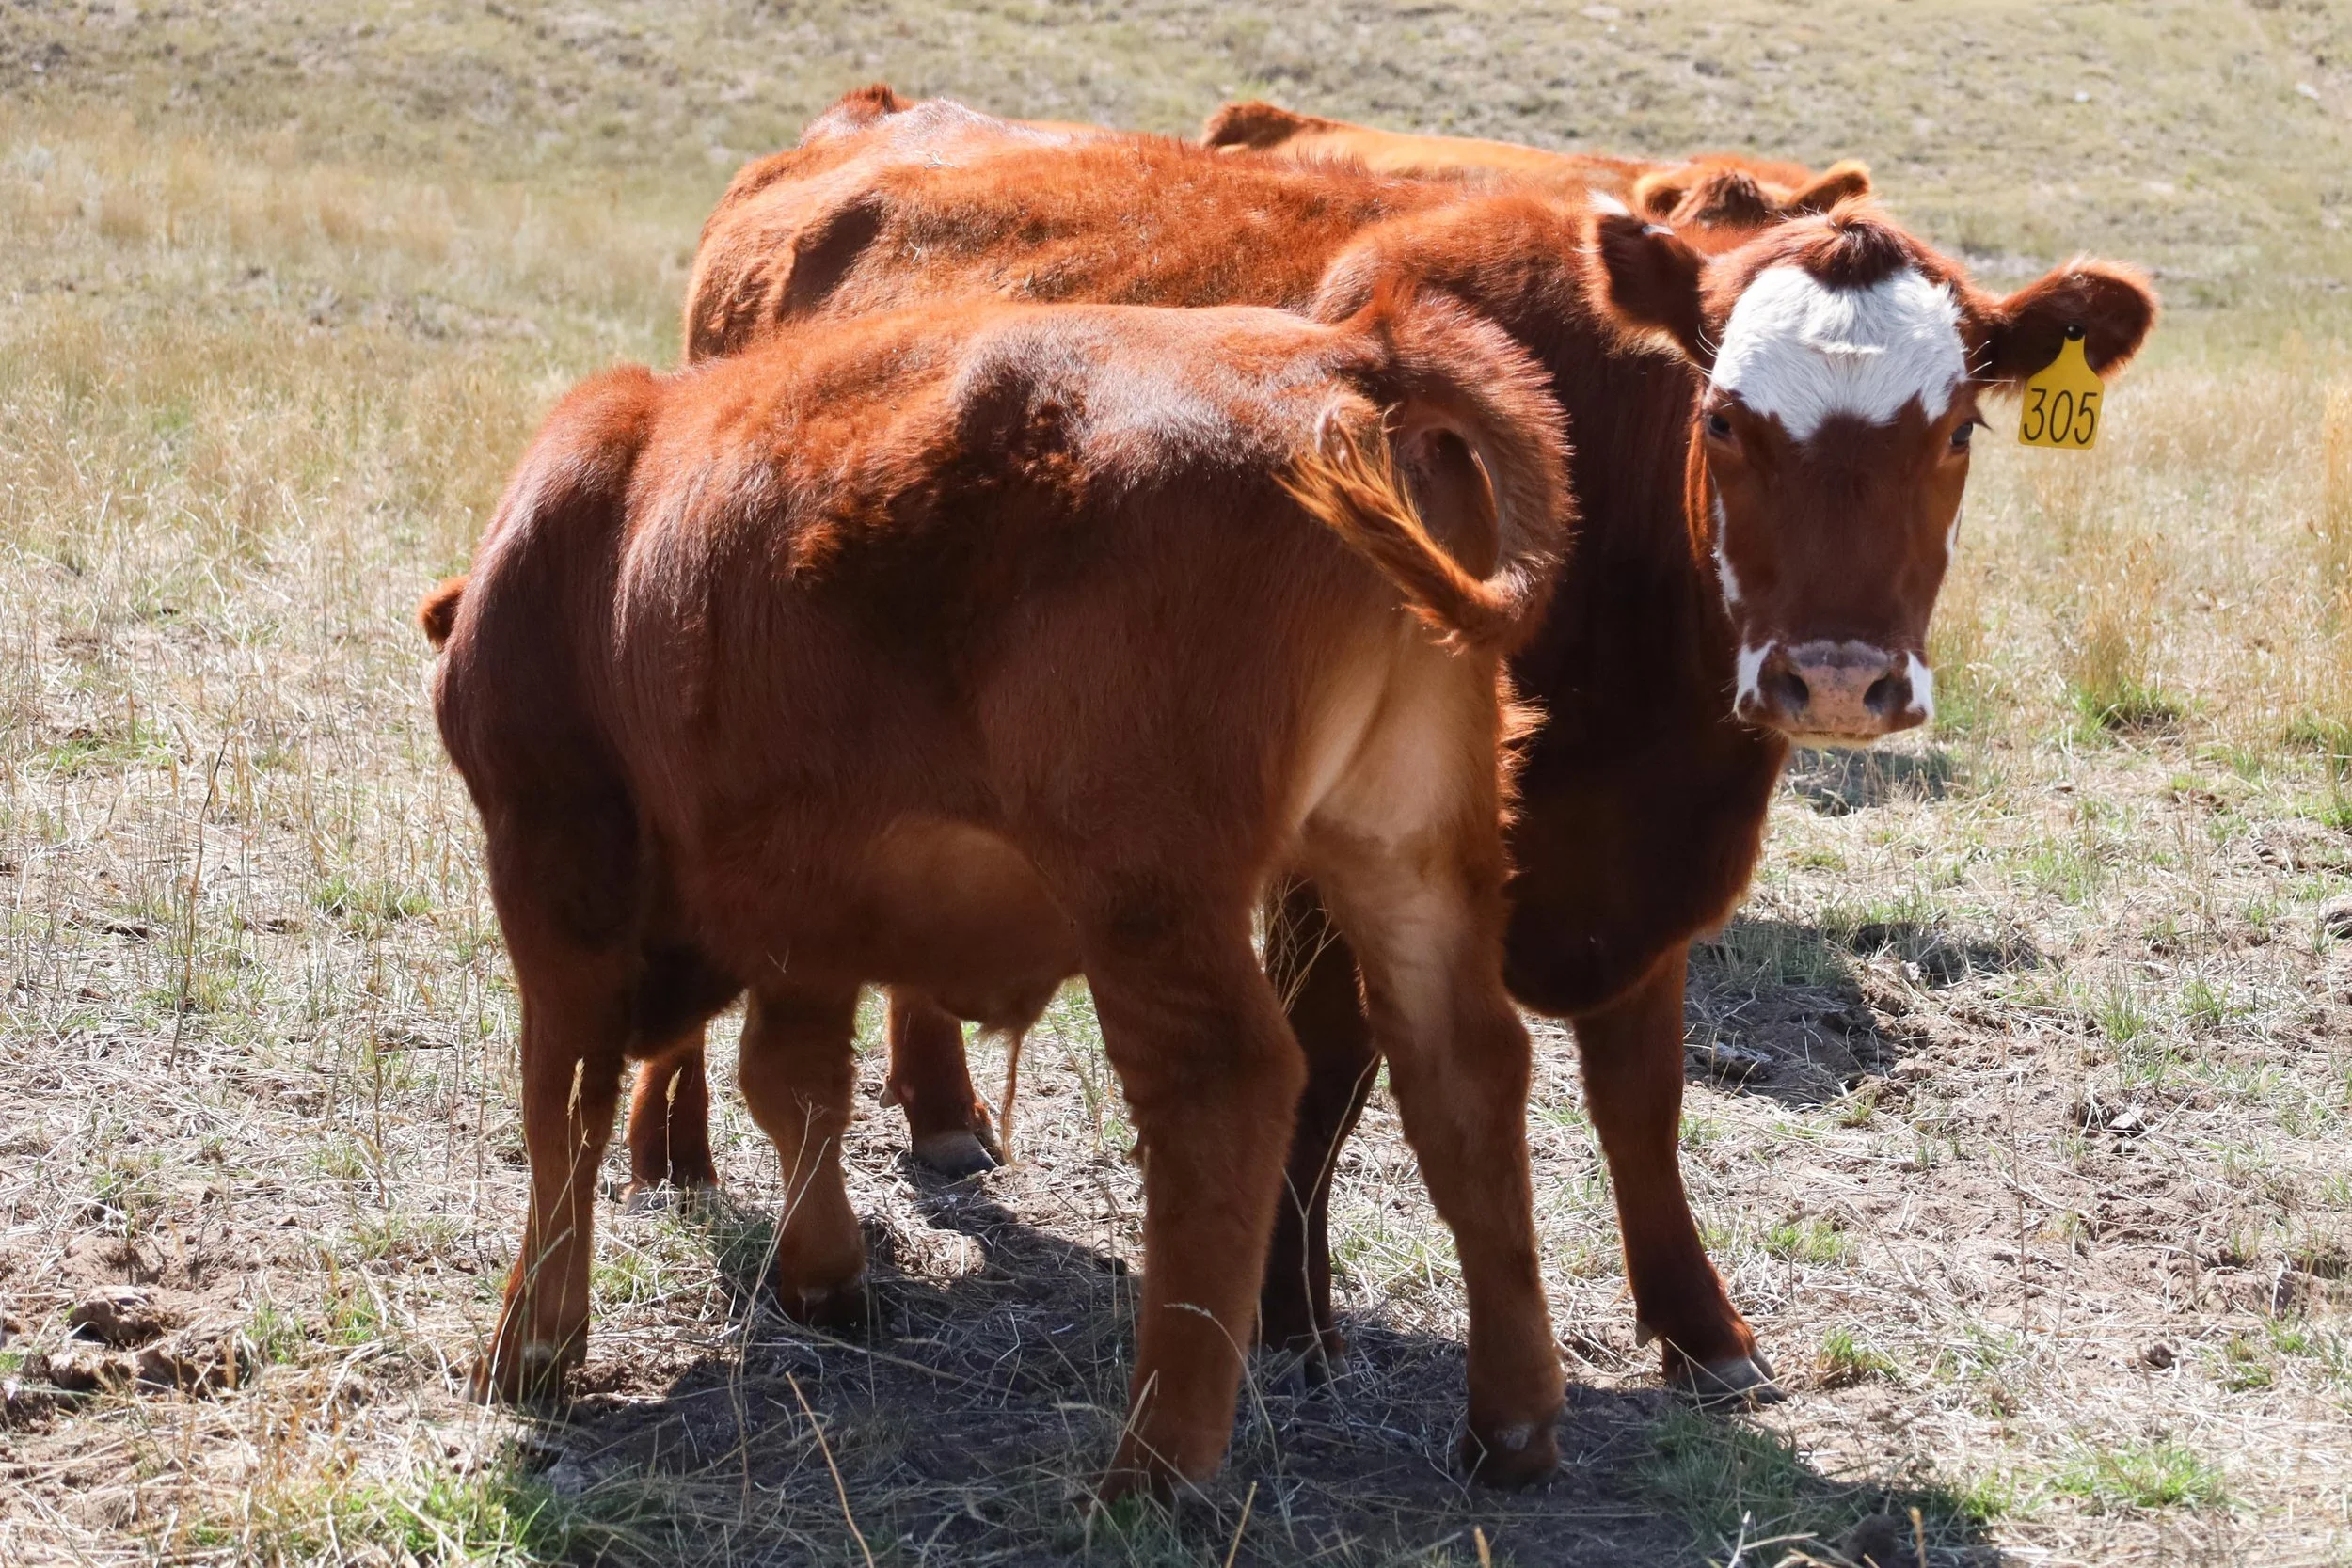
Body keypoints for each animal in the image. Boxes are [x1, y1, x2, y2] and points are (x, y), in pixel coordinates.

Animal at [425, 288, 1582, 1496]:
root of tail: (1346, 354)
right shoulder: (807, 909)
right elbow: (792, 1082)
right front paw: (826, 1277)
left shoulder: (553, 864)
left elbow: (564, 1106)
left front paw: (529, 1348)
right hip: (1407, 856)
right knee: (1465, 1075)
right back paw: (1510, 1428)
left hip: (1149, 891)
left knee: (1225, 1086)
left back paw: (1154, 1466)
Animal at [653, 96, 2157, 1404]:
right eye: (1724, 419)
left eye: (1957, 428)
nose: (1837, 674)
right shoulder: (1340, 853)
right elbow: (1327, 1072)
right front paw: (1286, 1310)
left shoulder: (1652, 852)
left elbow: (1642, 1096)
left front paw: (1697, 1325)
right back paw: (671, 1144)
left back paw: (940, 1111)